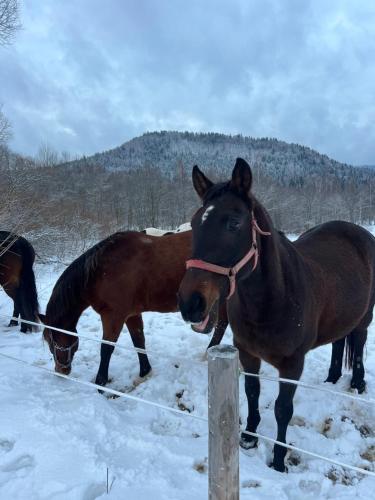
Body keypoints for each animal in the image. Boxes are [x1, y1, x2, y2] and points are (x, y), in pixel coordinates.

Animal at [42, 229, 228, 382]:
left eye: (50, 341)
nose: (61, 371)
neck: (101, 271)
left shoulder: (113, 316)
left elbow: (106, 348)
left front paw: (100, 382)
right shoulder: (131, 314)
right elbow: (138, 340)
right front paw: (145, 371)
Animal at [178, 159, 375, 472]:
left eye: (234, 223)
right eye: (196, 223)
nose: (190, 303)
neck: (272, 301)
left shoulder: (292, 365)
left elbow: (283, 410)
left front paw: (279, 459)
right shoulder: (247, 353)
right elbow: (251, 392)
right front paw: (249, 437)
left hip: (365, 317)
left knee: (358, 342)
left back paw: (357, 383)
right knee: (338, 342)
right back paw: (332, 378)